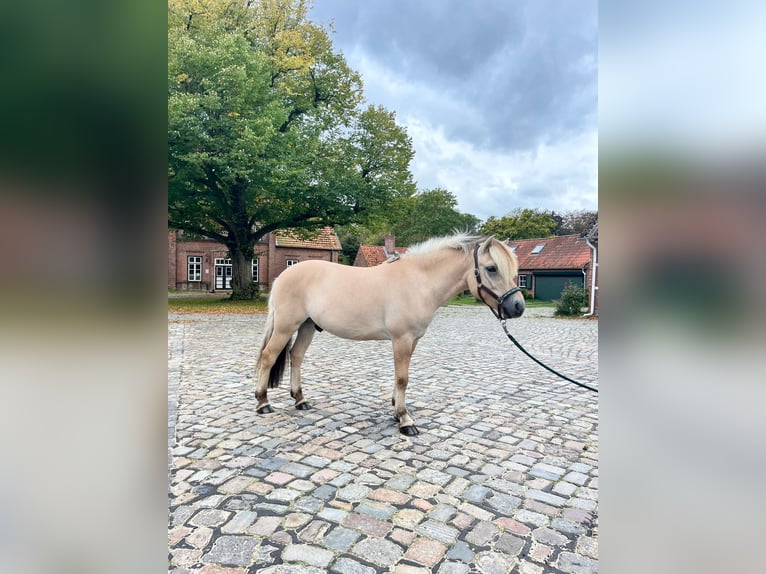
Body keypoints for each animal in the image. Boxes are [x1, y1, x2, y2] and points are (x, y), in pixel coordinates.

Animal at [255, 233, 524, 436]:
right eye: (491, 268)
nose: (518, 307)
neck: (419, 281)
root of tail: (282, 276)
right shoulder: (401, 339)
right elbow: (403, 378)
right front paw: (405, 420)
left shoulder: (412, 340)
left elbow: (400, 377)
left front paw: (396, 410)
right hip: (286, 326)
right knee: (269, 356)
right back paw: (263, 402)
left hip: (307, 326)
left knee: (296, 355)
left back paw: (300, 400)